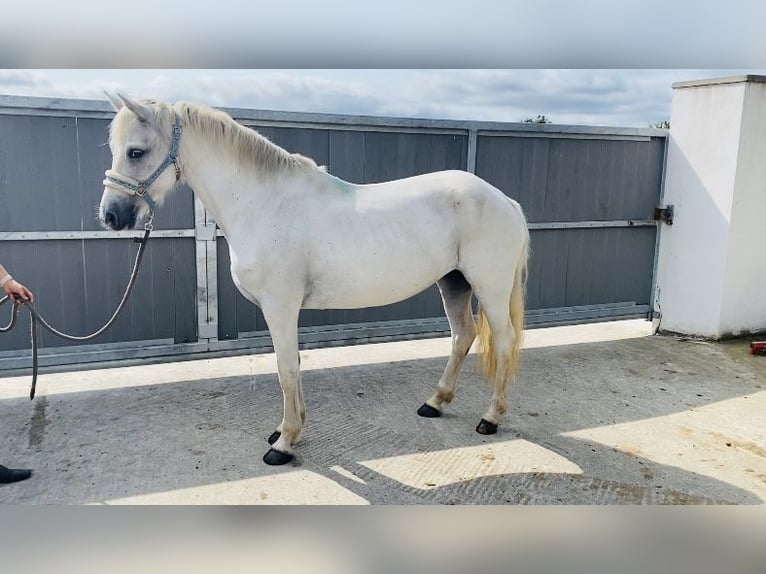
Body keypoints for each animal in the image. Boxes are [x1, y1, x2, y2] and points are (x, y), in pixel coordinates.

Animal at [99, 92, 532, 466]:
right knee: (463, 336)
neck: (264, 203)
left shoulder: (280, 306)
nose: (111, 216)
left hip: (488, 287)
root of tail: (504, 200)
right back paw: (435, 403)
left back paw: (490, 418)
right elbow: (291, 366)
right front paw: (285, 431)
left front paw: (285, 444)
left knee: (504, 341)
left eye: (136, 151)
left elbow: (286, 369)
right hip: (453, 282)